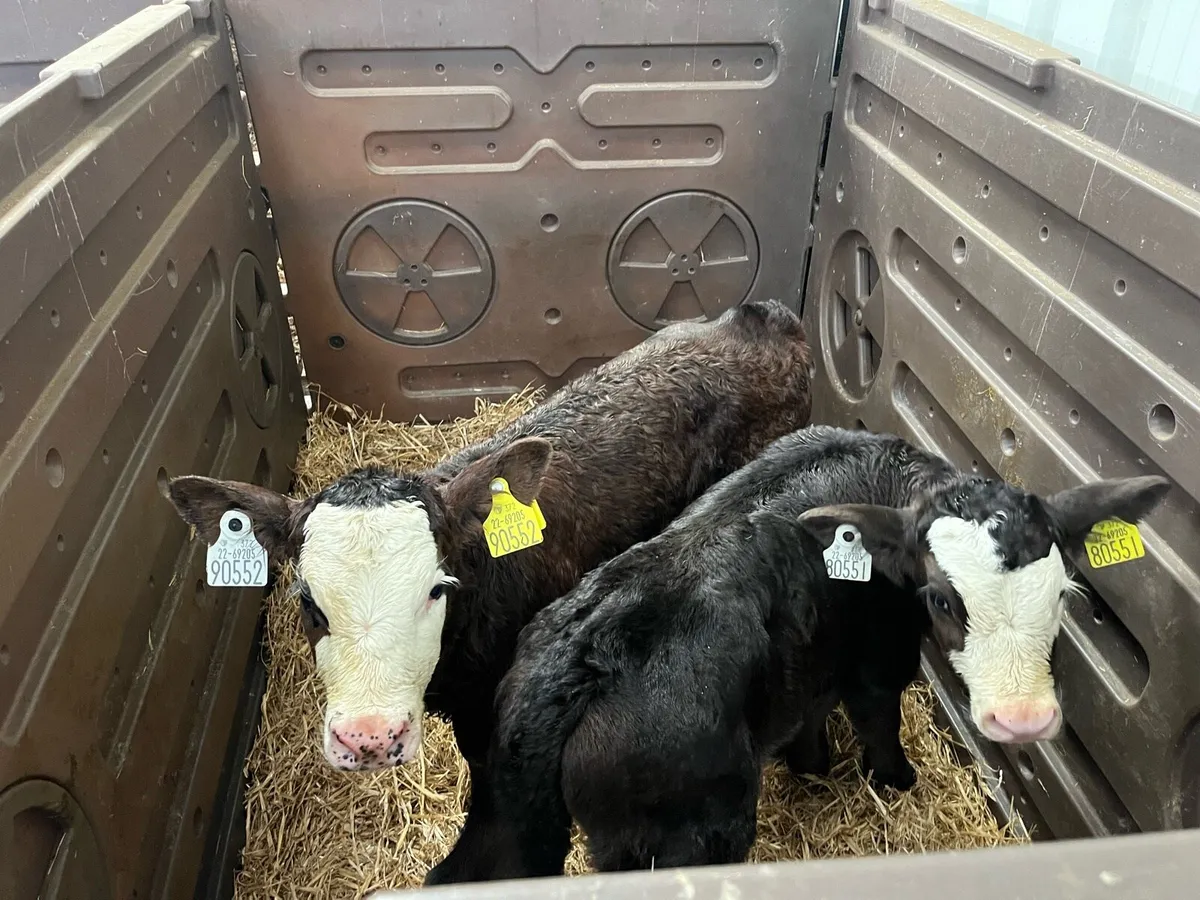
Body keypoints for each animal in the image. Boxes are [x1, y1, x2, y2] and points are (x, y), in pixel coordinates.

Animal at [424, 425, 1169, 884]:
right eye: (940, 598)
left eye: (1062, 592)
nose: (1022, 720)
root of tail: (579, 660)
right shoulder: (879, 659)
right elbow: (879, 721)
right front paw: (895, 780)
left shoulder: (811, 655)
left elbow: (810, 712)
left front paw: (812, 764)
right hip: (686, 836)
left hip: (501, 805)